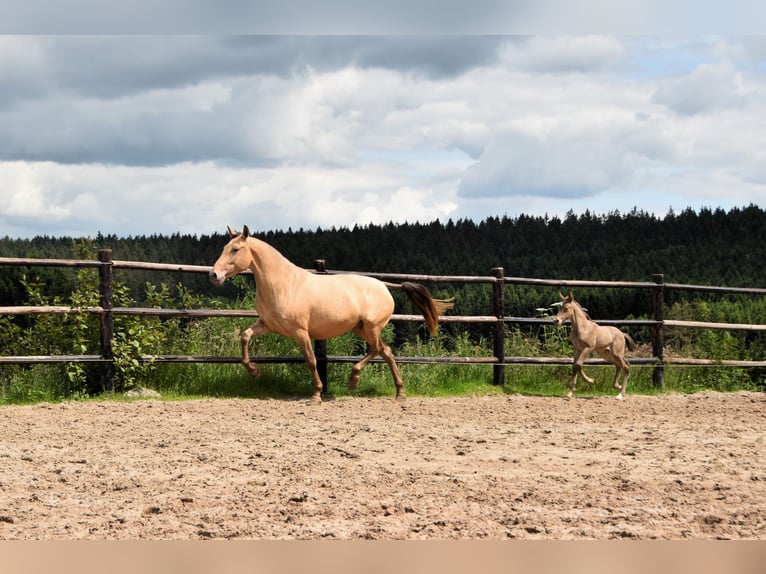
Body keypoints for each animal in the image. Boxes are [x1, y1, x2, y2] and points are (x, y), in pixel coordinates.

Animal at [208, 226, 456, 404]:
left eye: (235, 249)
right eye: (224, 247)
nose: (214, 275)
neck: (283, 284)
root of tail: (384, 285)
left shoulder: (300, 332)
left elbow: (311, 360)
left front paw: (316, 395)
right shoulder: (267, 325)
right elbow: (244, 336)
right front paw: (253, 371)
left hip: (371, 327)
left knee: (378, 350)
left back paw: (355, 381)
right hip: (361, 328)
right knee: (386, 352)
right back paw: (399, 393)